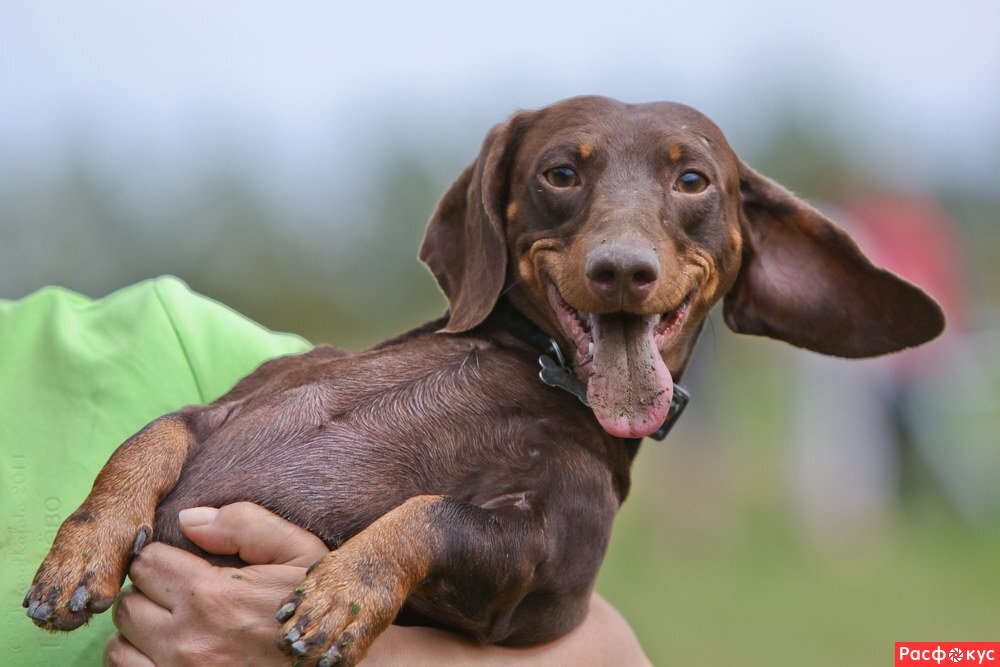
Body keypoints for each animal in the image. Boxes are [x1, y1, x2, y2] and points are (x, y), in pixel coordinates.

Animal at [25, 96, 944, 664]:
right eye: (561, 173)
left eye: (693, 180)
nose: (622, 270)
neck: (524, 362)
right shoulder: (225, 407)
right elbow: (149, 438)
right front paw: (81, 549)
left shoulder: (538, 566)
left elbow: (436, 515)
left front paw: (346, 590)